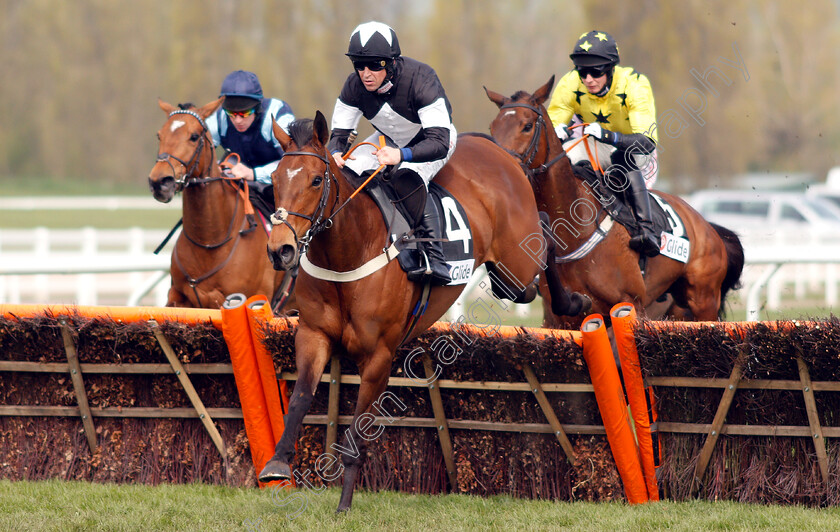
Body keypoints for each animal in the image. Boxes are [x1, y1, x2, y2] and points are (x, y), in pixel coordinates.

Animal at [260, 111, 588, 512]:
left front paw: (344, 505)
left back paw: (574, 301)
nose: (281, 251)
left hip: (518, 264)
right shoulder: (313, 335)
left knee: (545, 229)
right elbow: (299, 399)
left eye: (316, 179)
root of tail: (500, 151)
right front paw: (277, 463)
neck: (349, 253)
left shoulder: (379, 355)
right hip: (506, 278)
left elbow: (358, 430)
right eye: (274, 180)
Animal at [482, 77, 744, 326]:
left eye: (527, 126)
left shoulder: (632, 305)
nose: (499, 167)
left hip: (703, 301)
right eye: (492, 127)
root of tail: (708, 227)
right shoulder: (556, 320)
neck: (575, 229)